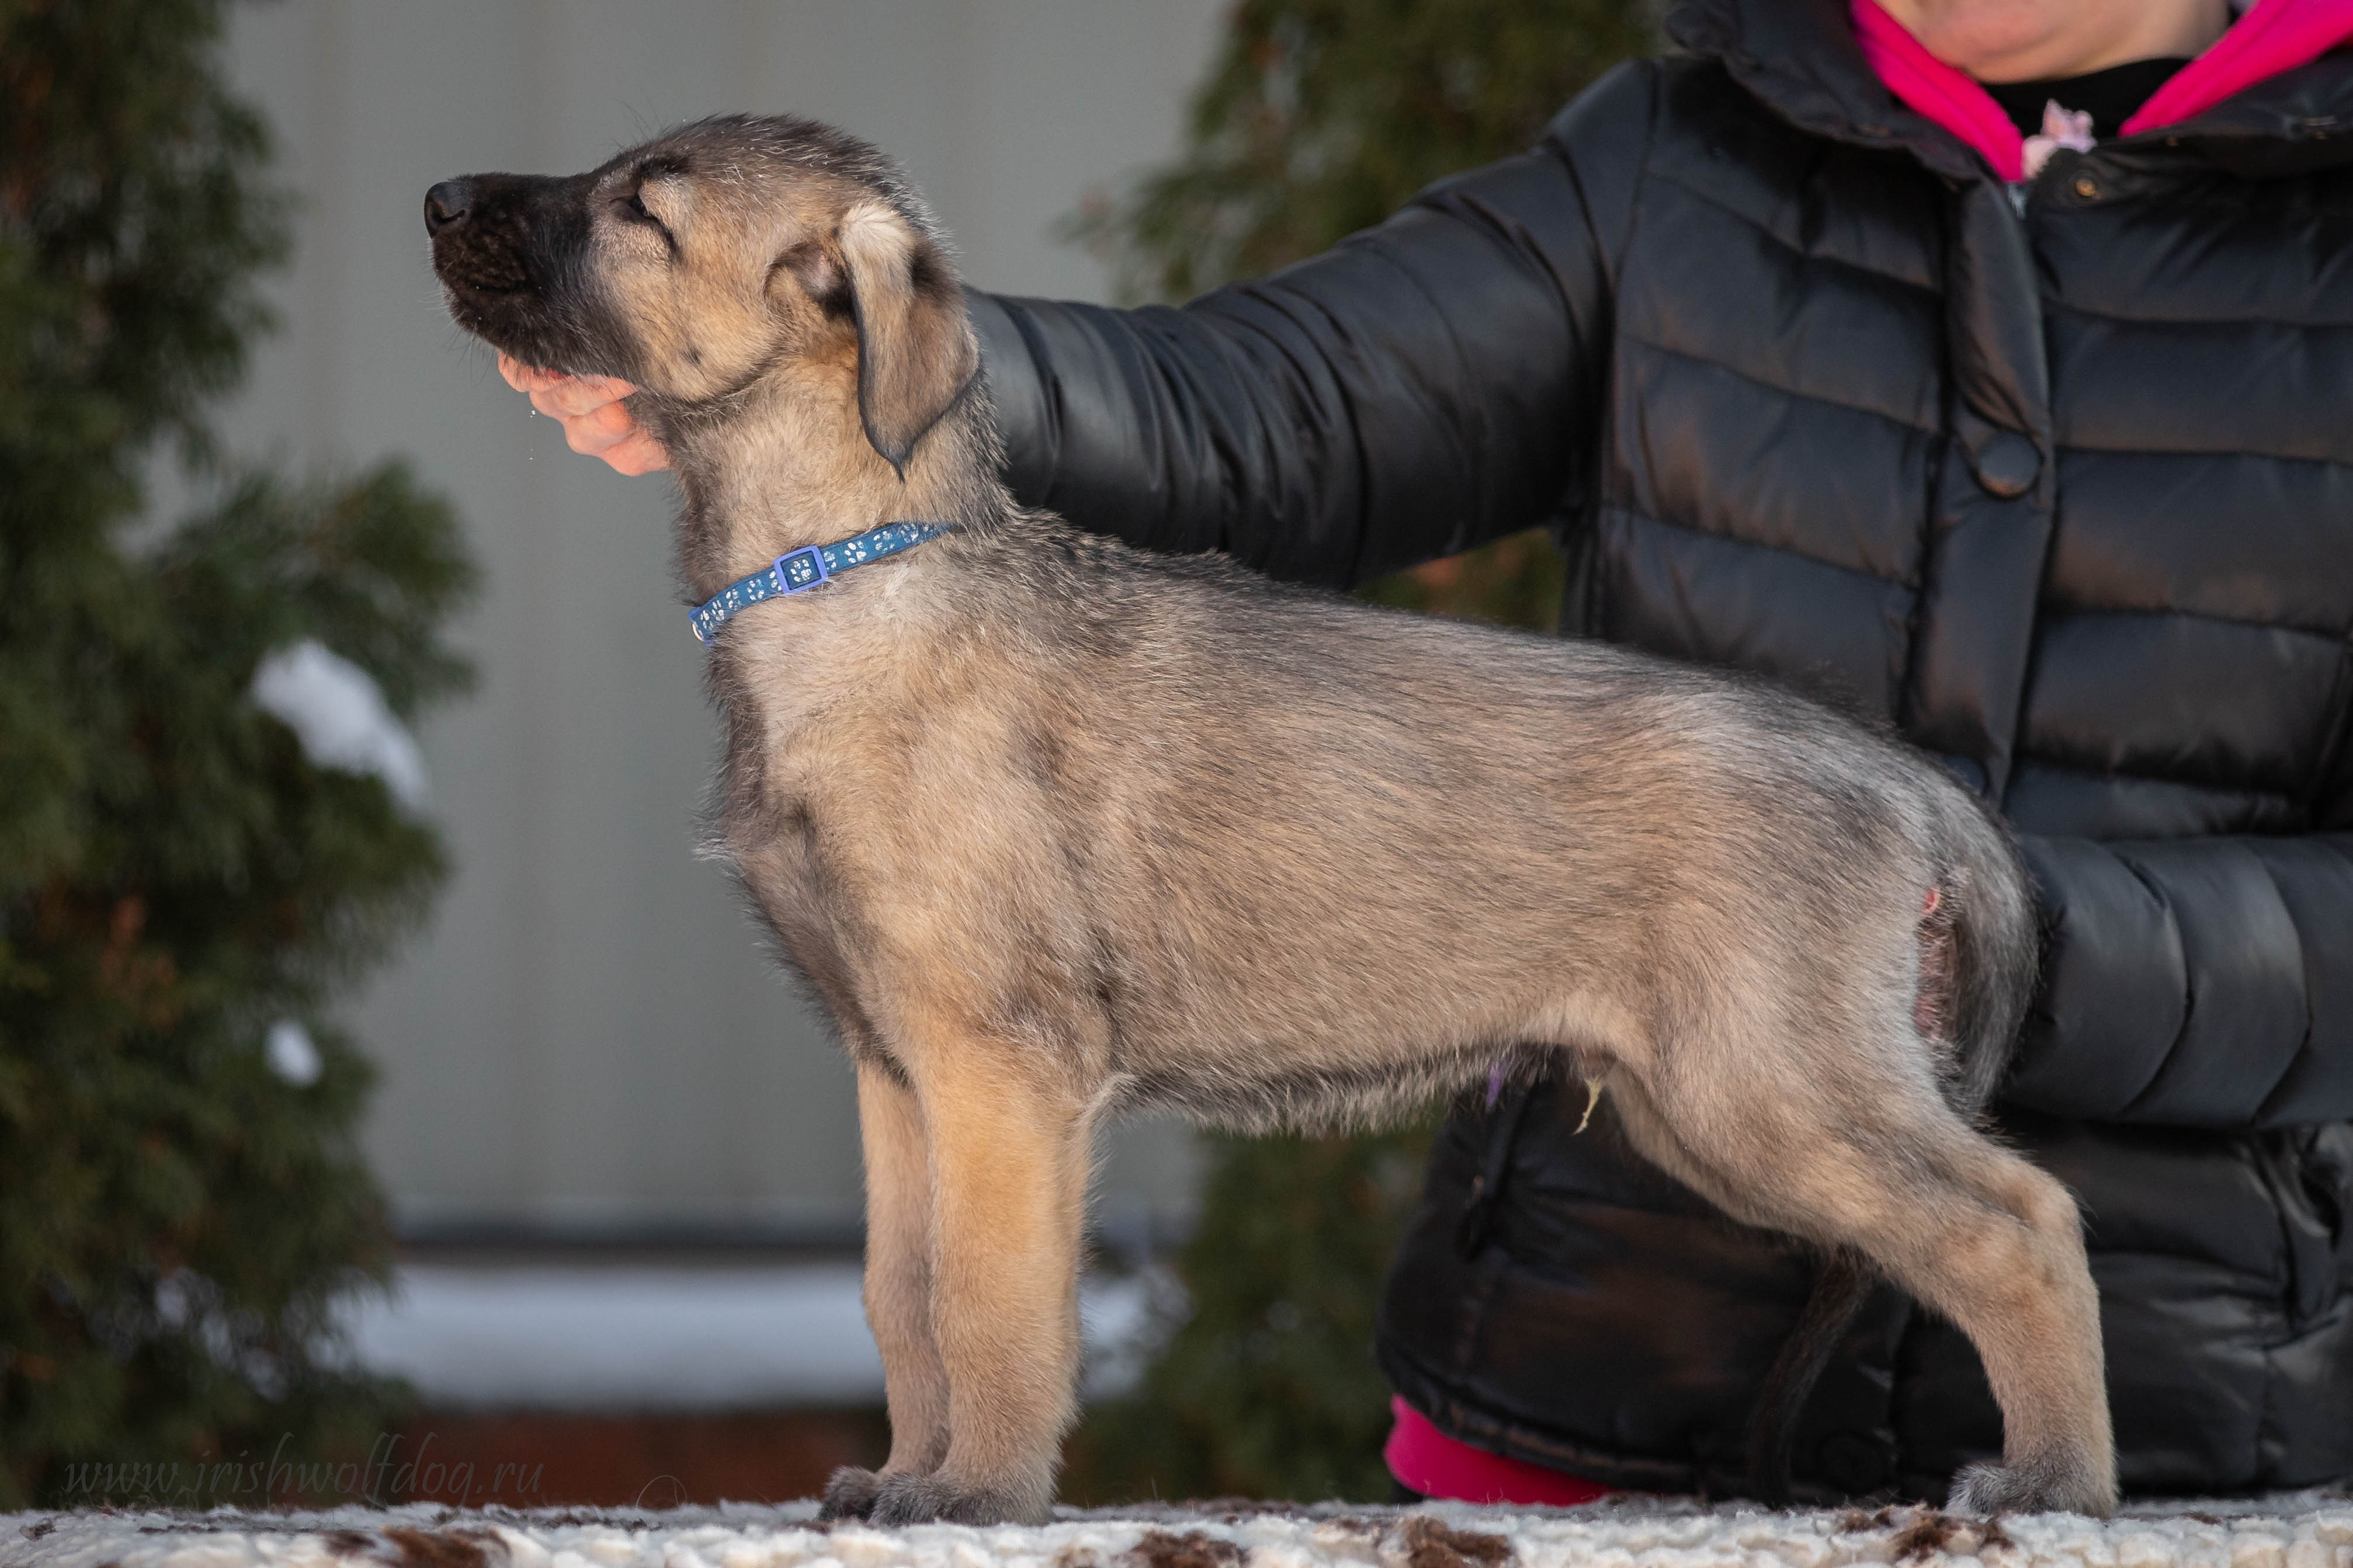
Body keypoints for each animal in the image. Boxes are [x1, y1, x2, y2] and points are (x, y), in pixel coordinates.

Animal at [424, 116, 2118, 1523]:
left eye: (640, 210)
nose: (436, 199)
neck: (853, 567)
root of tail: (1896, 774)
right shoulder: (893, 1064)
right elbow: (900, 1293)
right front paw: (902, 1471)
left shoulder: (1002, 1064)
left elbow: (987, 1297)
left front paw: (977, 1491)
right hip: (1708, 1099)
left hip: (1766, 1083)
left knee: (2023, 1218)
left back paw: (2056, 1478)